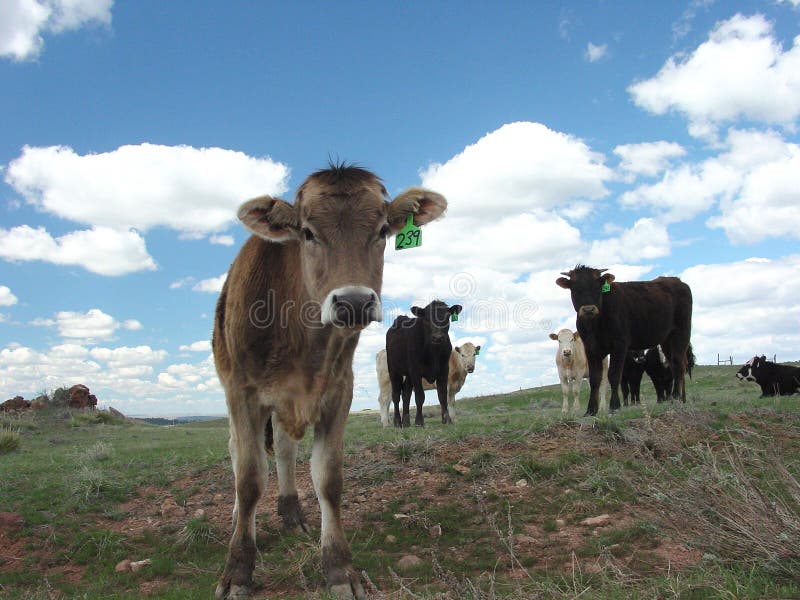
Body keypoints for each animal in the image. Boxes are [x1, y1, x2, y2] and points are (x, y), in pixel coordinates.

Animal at [212, 164, 446, 600]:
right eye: (307, 232)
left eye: (382, 230)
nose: (353, 302)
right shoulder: (243, 392)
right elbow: (249, 479)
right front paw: (238, 570)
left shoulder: (339, 392)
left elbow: (329, 479)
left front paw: (338, 567)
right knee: (239, 453)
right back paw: (238, 517)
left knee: (285, 450)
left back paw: (291, 512)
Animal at [556, 264, 692, 414]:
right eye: (575, 288)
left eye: (597, 286)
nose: (588, 309)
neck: (595, 324)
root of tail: (678, 281)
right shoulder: (591, 348)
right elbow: (595, 378)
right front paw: (591, 410)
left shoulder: (619, 345)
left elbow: (614, 375)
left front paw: (614, 406)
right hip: (666, 340)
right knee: (674, 364)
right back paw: (682, 399)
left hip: (681, 332)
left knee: (678, 364)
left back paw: (676, 398)